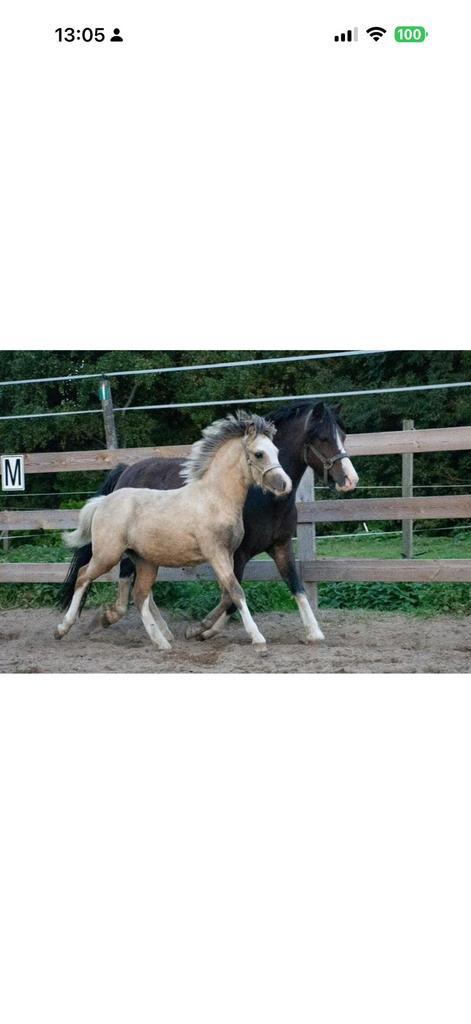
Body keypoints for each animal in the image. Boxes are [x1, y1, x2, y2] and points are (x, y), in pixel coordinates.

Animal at [59, 400, 359, 644]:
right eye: (323, 438)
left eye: (344, 435)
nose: (350, 480)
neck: (265, 500)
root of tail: (124, 471)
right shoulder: (236, 553)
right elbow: (232, 594)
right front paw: (203, 629)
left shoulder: (280, 546)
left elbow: (295, 585)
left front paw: (314, 632)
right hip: (118, 550)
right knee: (111, 578)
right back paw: (94, 621)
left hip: (145, 551)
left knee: (139, 588)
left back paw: (159, 632)